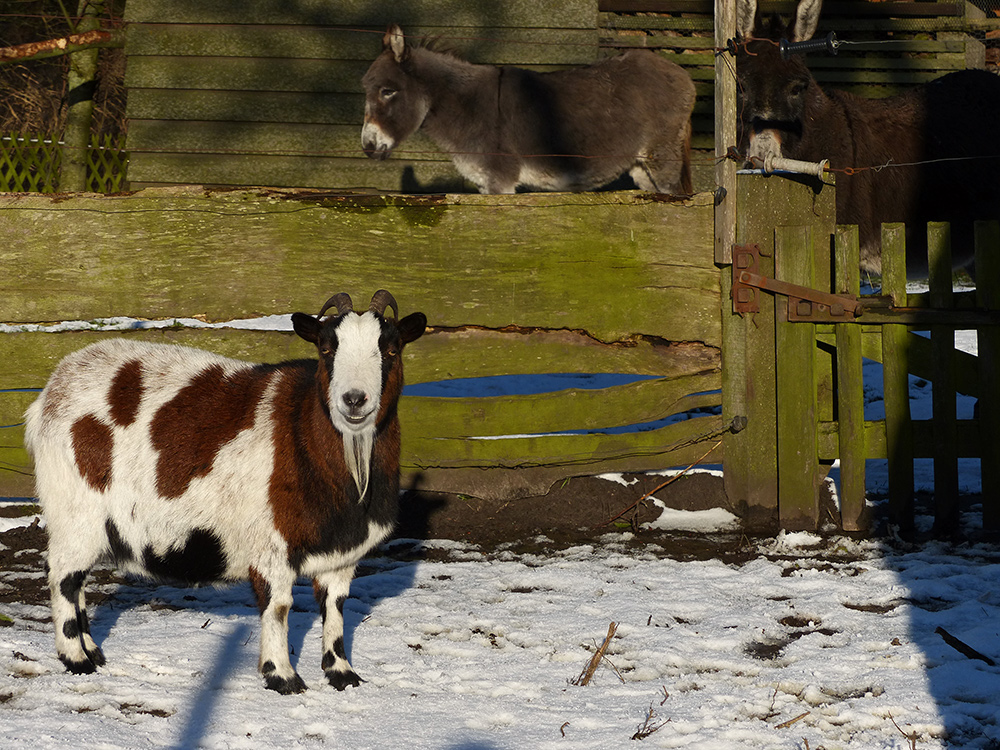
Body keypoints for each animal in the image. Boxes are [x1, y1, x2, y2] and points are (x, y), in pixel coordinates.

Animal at [26, 290, 426, 696]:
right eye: (327, 348)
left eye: (392, 349)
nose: (354, 399)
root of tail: (50, 391)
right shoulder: (270, 544)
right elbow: (278, 607)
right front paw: (282, 677)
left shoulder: (340, 552)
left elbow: (335, 606)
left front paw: (341, 672)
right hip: (74, 508)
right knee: (63, 576)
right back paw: (76, 658)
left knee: (77, 581)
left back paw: (93, 650)